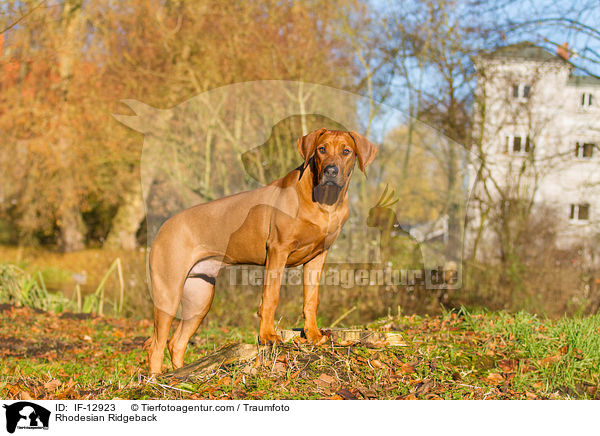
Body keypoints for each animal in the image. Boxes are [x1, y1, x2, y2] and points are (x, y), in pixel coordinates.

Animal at [144, 127, 376, 372]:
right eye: (322, 149)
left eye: (346, 151)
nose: (331, 171)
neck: (324, 201)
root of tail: (163, 227)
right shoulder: (278, 250)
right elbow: (271, 296)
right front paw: (267, 336)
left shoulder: (317, 257)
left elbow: (311, 299)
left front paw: (313, 335)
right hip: (168, 293)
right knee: (156, 345)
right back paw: (157, 378)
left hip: (200, 297)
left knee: (176, 343)